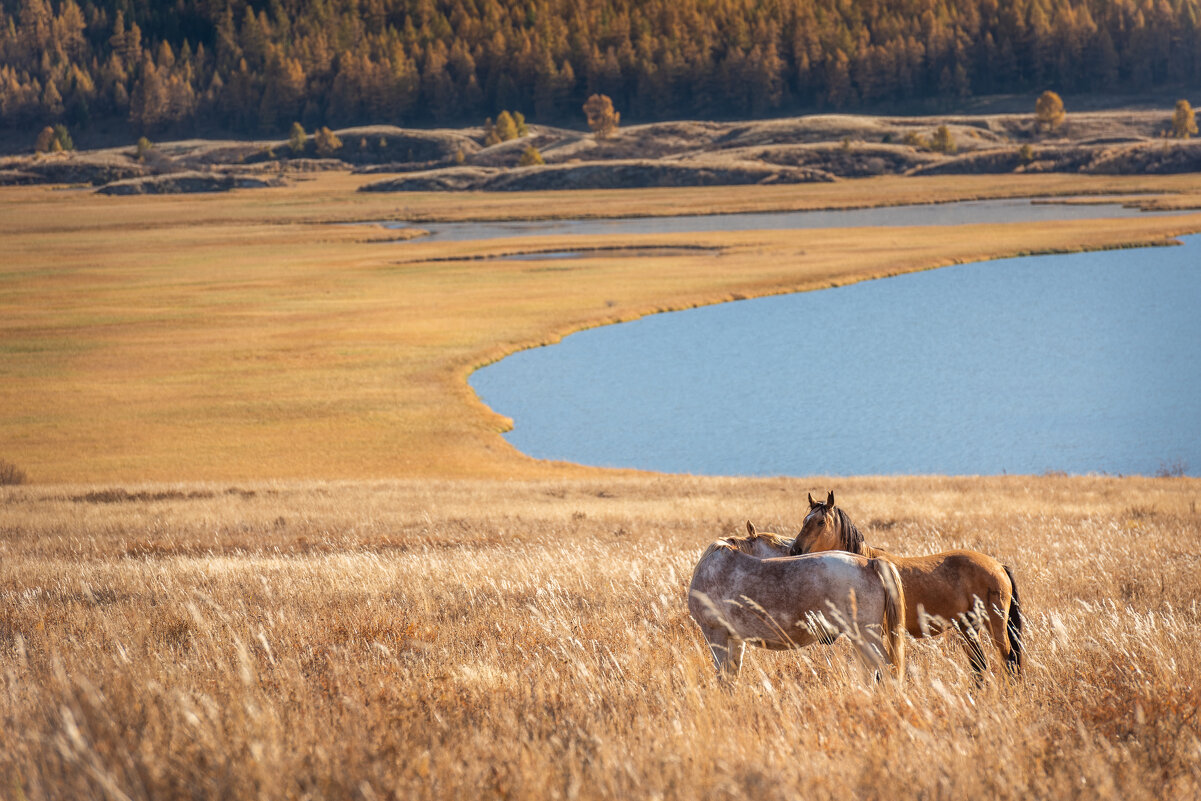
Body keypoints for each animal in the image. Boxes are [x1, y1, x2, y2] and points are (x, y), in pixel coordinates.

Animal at [686, 525, 903, 682]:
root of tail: (870, 563)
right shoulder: (735, 639)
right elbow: (731, 676)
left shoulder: (716, 633)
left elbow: (723, 677)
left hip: (865, 636)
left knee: (887, 669)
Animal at [787, 492, 1023, 682]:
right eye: (805, 520)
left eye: (820, 522)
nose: (794, 550)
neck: (865, 564)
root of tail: (998, 566)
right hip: (968, 627)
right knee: (979, 665)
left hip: (995, 624)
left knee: (1008, 658)